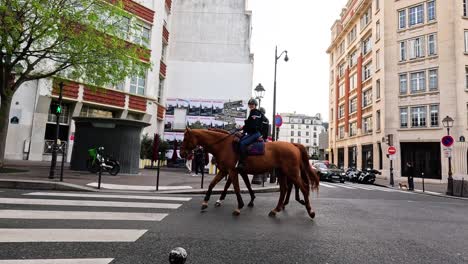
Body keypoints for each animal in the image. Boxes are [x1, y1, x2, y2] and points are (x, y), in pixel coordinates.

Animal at [178, 128, 318, 219]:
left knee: (303, 187)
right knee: (284, 189)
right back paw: (276, 209)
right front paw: (206, 202)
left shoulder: (232, 171)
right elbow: (212, 184)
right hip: (282, 173)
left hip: (292, 172)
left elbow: (236, 188)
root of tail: (294, 145)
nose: (182, 153)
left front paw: (239, 206)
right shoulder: (225, 171)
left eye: (185, 138)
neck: (223, 145)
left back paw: (310, 211)